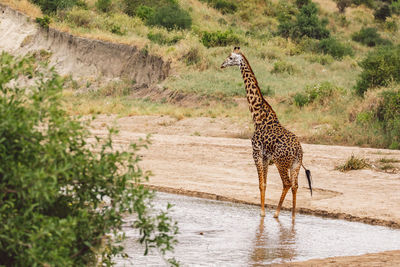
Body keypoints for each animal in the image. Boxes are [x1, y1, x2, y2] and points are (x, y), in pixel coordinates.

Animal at [220, 47, 310, 220]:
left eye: (230, 57)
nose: (222, 65)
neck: (258, 116)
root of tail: (298, 150)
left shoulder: (256, 152)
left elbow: (261, 184)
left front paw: (262, 213)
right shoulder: (266, 157)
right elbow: (265, 183)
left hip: (281, 163)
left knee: (287, 183)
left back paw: (276, 213)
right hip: (295, 164)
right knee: (295, 185)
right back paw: (293, 217)